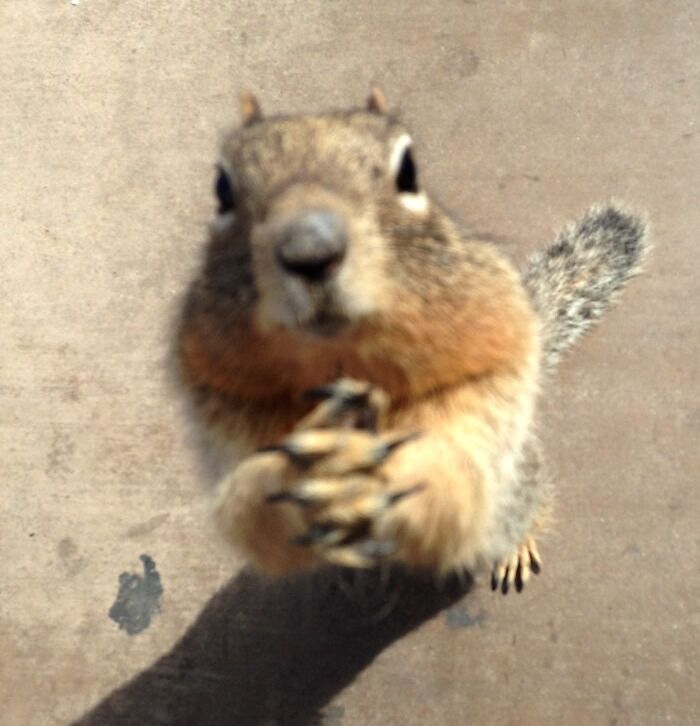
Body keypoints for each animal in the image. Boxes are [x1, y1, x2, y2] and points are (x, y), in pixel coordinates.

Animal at [175, 88, 649, 594]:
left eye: (408, 171)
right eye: (221, 188)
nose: (310, 250)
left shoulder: (486, 355)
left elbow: (461, 456)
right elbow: (247, 502)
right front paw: (314, 472)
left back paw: (515, 544)